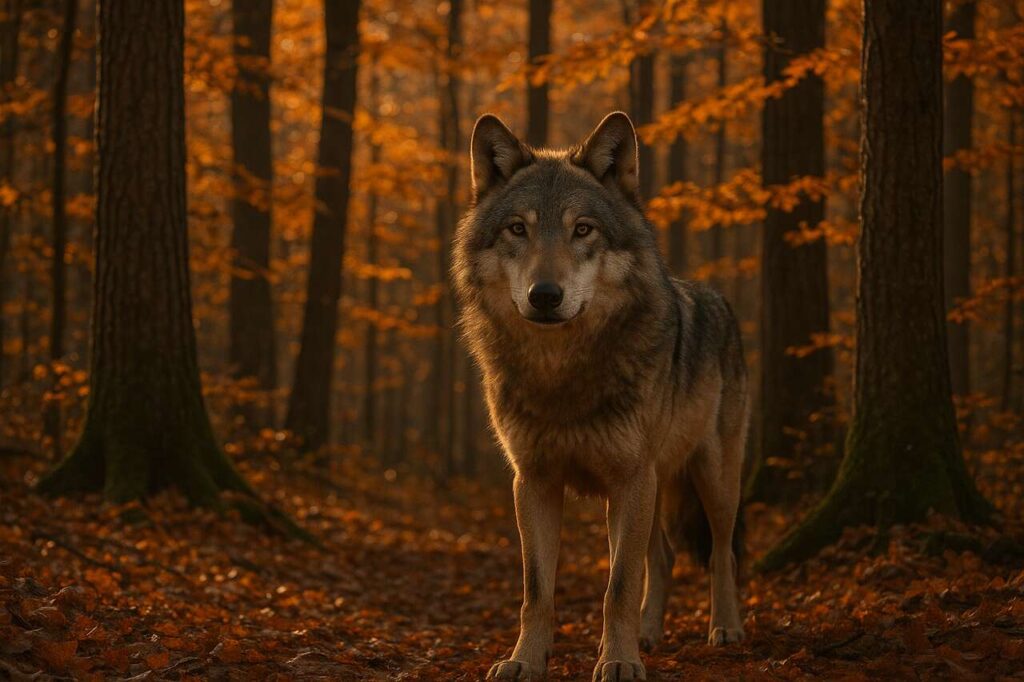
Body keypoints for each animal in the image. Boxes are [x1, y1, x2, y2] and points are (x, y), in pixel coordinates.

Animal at [452, 111, 749, 681]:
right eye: (518, 228)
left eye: (582, 229)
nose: (545, 295)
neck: (560, 372)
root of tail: (720, 298)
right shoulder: (535, 482)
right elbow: (537, 590)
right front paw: (525, 660)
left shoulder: (629, 481)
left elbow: (618, 587)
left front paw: (619, 661)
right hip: (654, 486)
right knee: (664, 554)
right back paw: (650, 634)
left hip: (711, 479)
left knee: (720, 552)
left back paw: (725, 628)